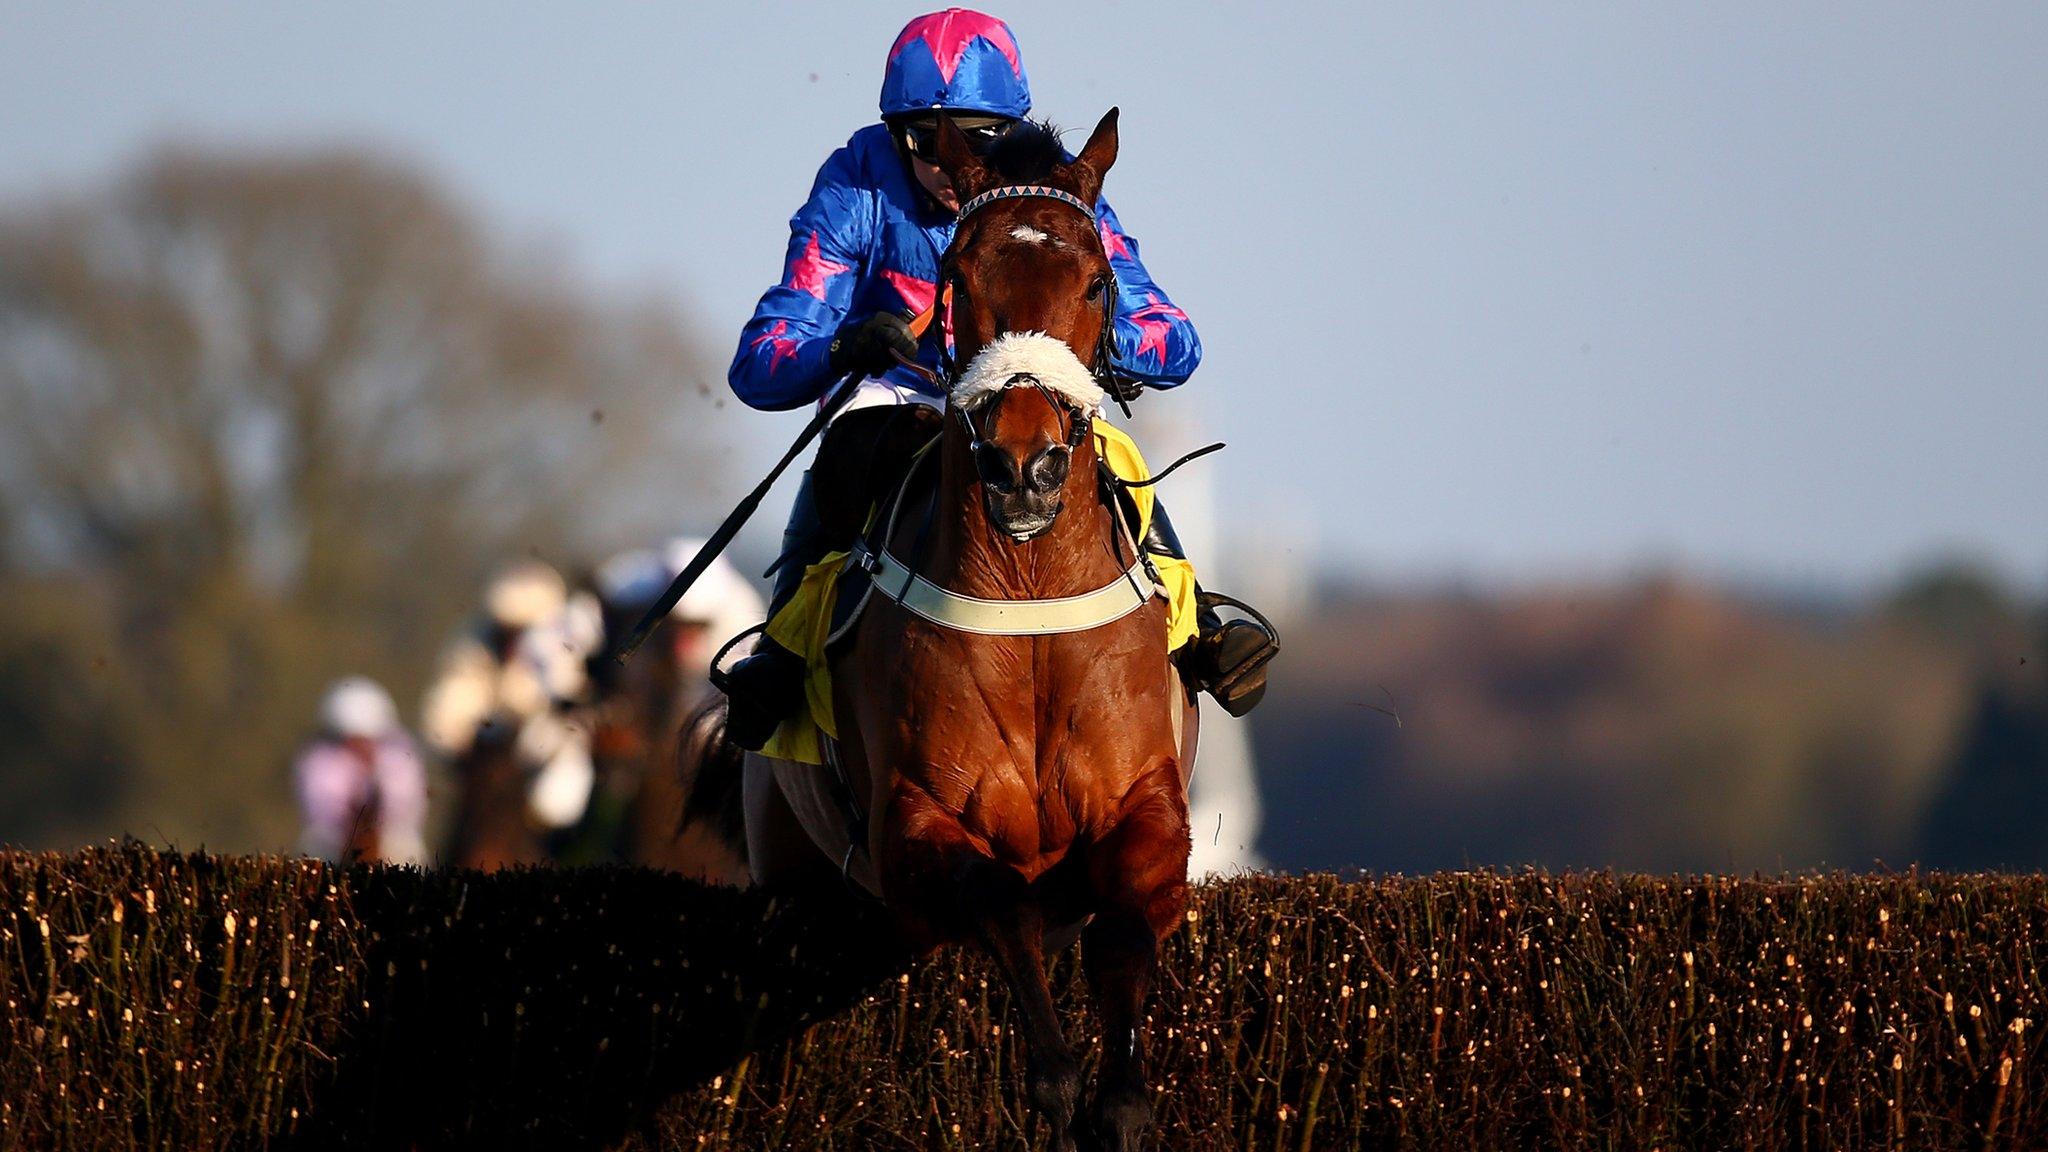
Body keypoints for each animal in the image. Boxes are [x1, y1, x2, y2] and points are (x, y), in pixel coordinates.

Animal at [733, 109, 1196, 1147]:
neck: (1028, 608)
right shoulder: (914, 833)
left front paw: (1120, 1099)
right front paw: (1060, 1085)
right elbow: (1002, 904)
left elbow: (1121, 939)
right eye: (958, 276)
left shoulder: (1150, 812)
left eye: (1097, 279)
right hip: (790, 889)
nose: (1023, 467)